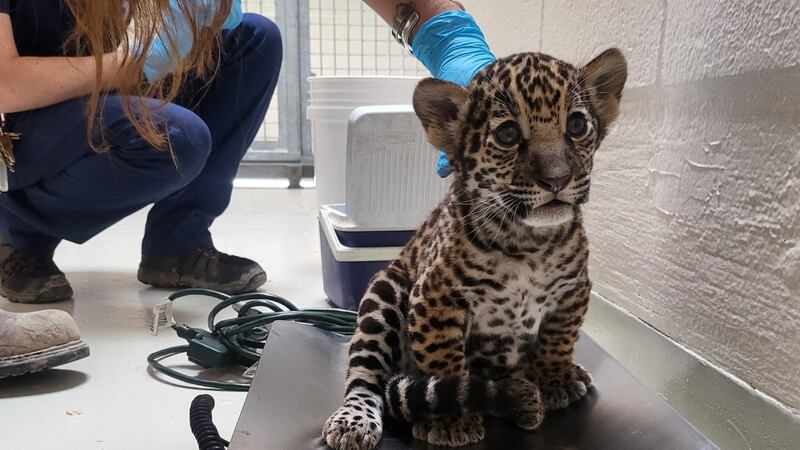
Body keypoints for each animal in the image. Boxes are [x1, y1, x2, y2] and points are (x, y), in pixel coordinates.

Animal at [322, 47, 627, 449]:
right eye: (508, 134)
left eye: (577, 126)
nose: (557, 179)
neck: (529, 244)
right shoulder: (436, 299)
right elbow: (443, 362)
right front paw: (451, 418)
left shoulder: (573, 291)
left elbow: (559, 337)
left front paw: (554, 379)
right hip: (382, 297)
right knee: (365, 376)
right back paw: (354, 420)